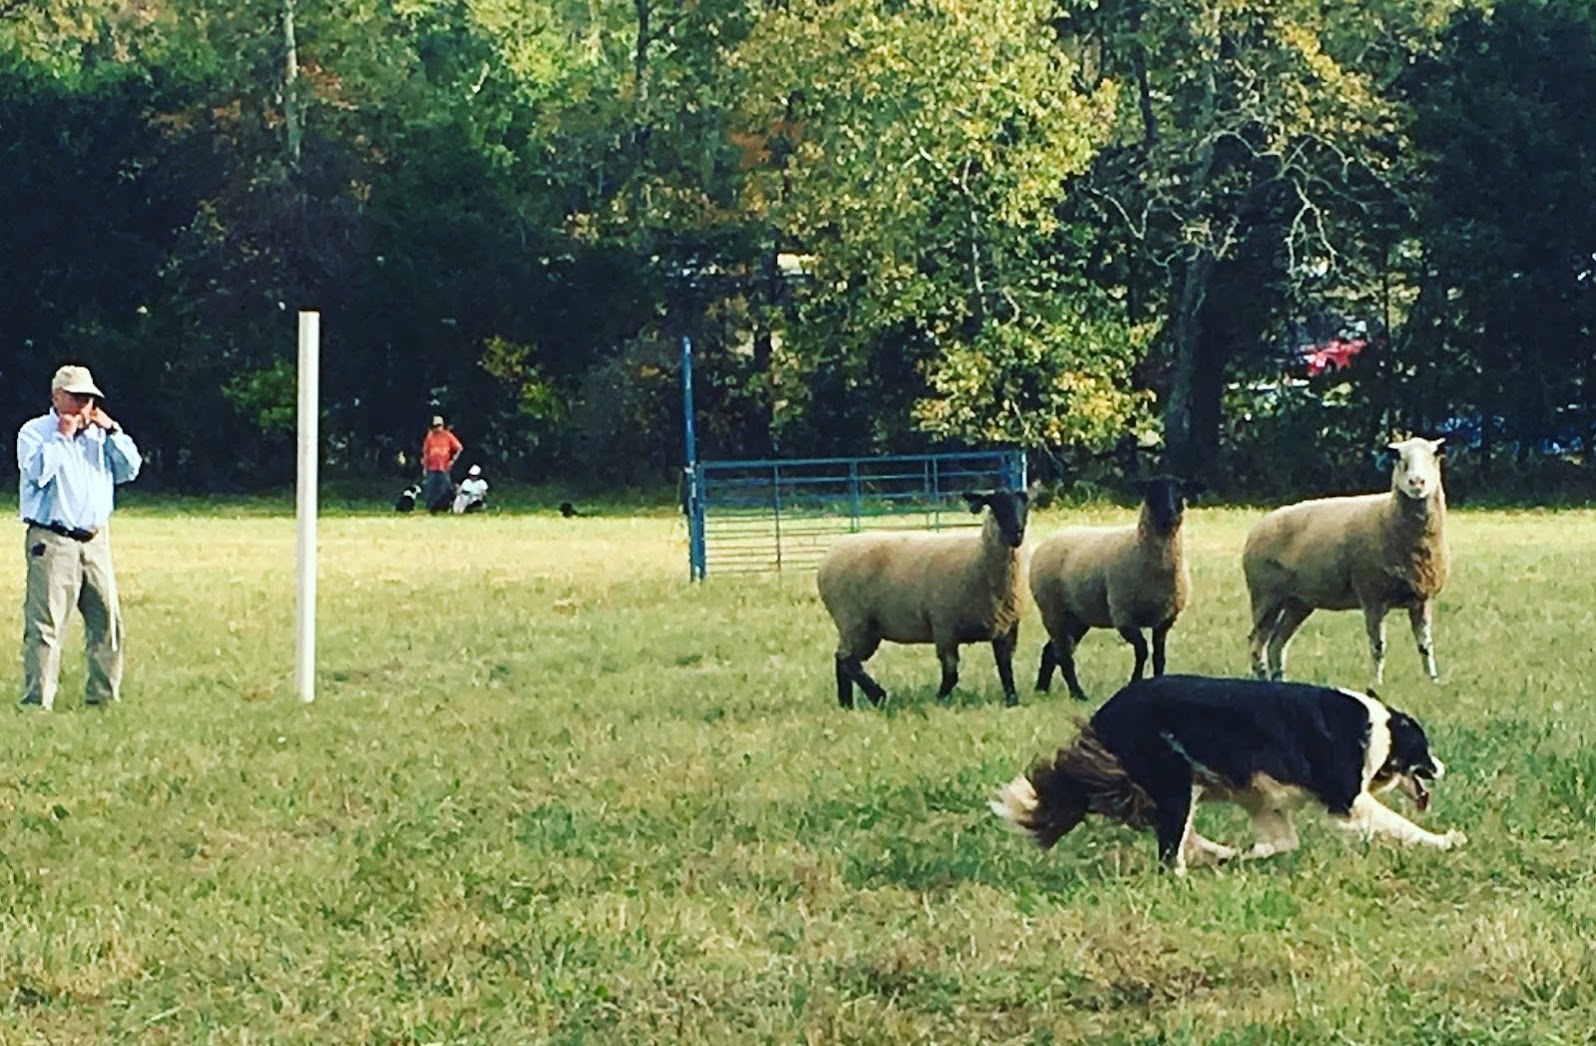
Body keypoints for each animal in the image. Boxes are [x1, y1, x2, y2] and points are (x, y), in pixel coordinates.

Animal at [817, 491, 1027, 709]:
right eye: (996, 504)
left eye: (1024, 504)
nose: (1017, 533)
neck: (979, 558)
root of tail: (828, 557)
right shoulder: (944, 627)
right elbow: (951, 674)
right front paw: (938, 701)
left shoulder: (1007, 627)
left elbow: (1005, 668)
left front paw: (1013, 701)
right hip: (852, 620)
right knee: (847, 659)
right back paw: (877, 696)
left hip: (866, 628)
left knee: (844, 660)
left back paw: (847, 704)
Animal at [1021, 475, 1200, 702]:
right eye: (1151, 491)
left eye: (1180, 492)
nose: (1169, 513)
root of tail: (1050, 538)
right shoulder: (1123, 615)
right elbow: (1142, 651)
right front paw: (1134, 682)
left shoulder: (1165, 618)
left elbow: (1159, 657)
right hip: (1052, 609)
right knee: (1063, 654)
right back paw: (1078, 693)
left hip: (1077, 616)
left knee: (1051, 651)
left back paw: (1042, 689)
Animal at [1238, 440, 1455, 693]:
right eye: (1400, 459)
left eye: (1434, 456)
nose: (1417, 483)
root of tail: (1257, 527)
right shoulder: (1372, 597)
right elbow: (1378, 645)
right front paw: (1376, 684)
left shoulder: (1422, 598)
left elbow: (1426, 645)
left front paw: (1433, 681)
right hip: (1266, 595)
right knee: (1256, 642)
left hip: (1298, 601)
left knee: (1276, 643)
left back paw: (1281, 681)